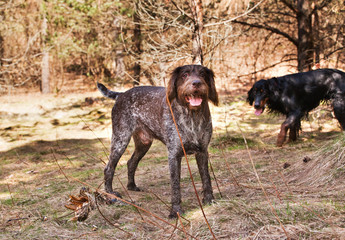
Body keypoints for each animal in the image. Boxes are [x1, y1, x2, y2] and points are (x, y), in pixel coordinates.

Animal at [97, 64, 218, 218]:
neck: (192, 116)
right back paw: (110, 193)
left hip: (143, 143)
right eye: (184, 75)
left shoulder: (202, 151)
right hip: (120, 140)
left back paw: (132, 186)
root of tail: (121, 94)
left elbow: (206, 179)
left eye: (202, 74)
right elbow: (175, 186)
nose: (196, 83)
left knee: (131, 162)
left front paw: (210, 200)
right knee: (109, 168)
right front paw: (176, 211)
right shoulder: (174, 155)